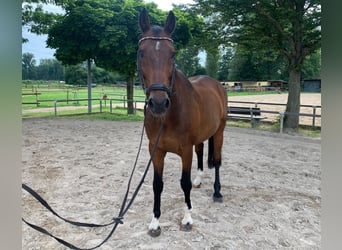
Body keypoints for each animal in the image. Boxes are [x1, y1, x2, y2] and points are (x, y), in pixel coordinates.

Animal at [136, 9, 227, 236]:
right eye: (141, 52)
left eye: (173, 53)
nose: (159, 103)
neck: (168, 116)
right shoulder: (156, 150)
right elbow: (157, 184)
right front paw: (155, 222)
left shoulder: (185, 150)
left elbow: (184, 183)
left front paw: (187, 219)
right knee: (201, 151)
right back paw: (199, 180)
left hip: (220, 132)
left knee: (217, 161)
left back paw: (217, 192)